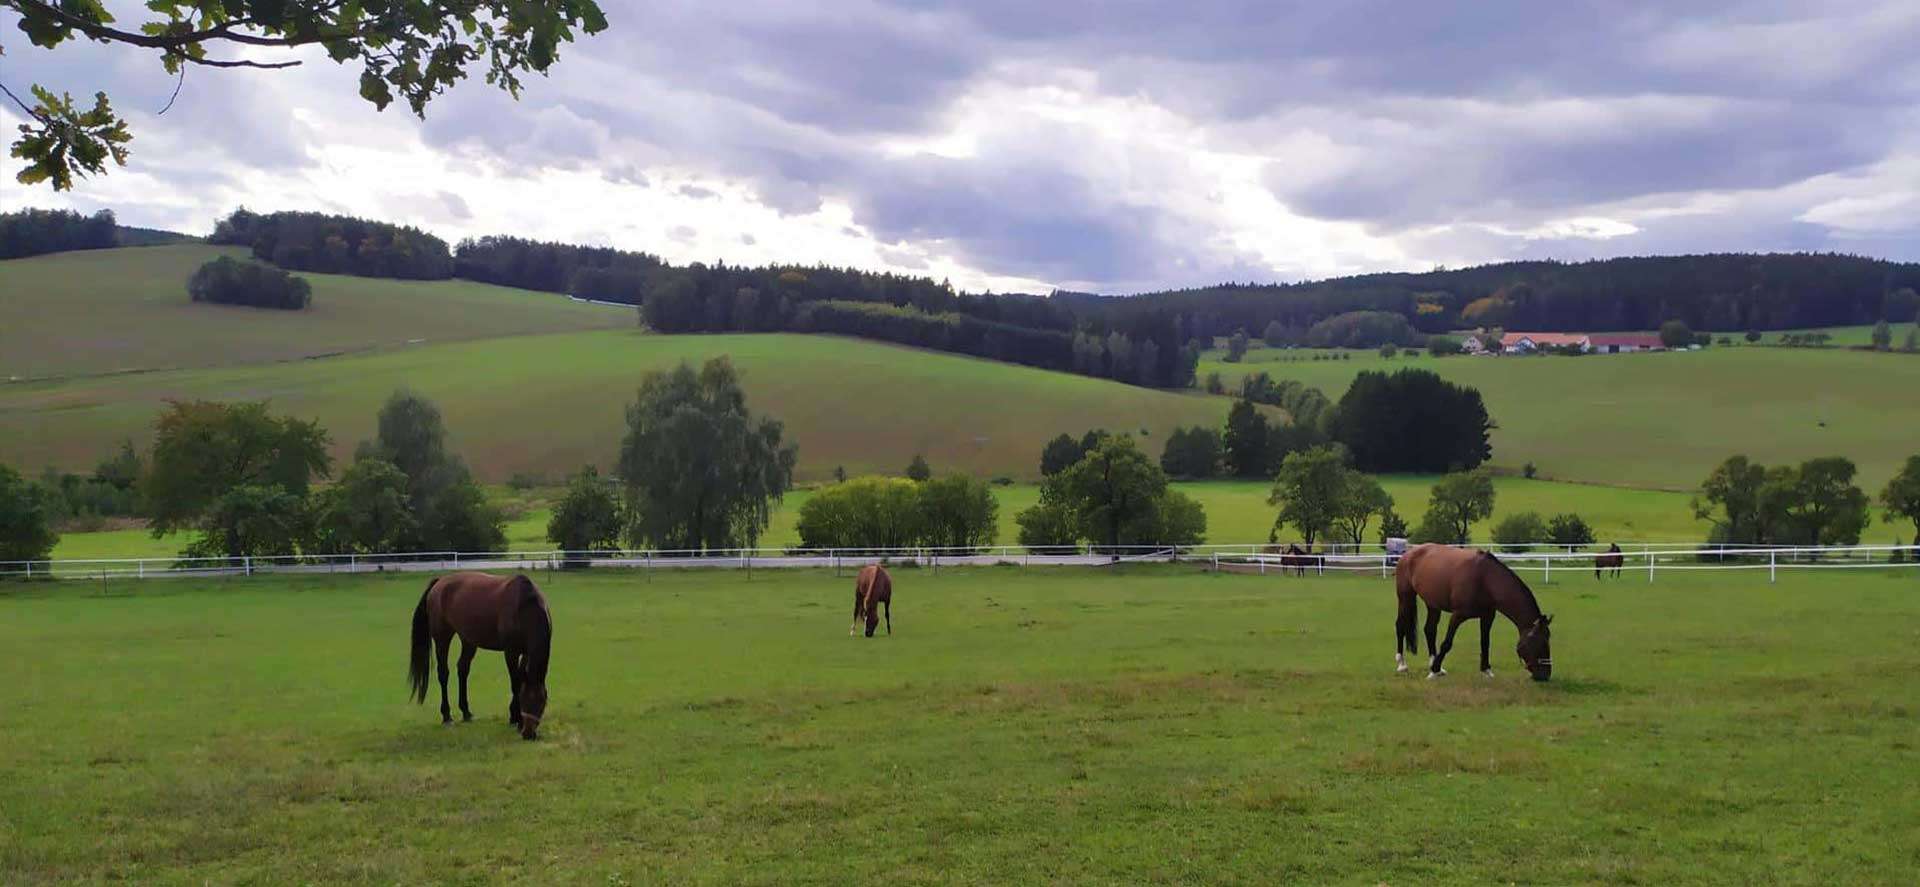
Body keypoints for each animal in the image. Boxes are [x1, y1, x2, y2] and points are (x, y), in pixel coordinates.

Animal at [407, 572, 552, 737]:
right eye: (524, 700)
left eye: (542, 702)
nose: (528, 734)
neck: (524, 607)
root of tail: (440, 582)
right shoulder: (511, 652)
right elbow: (515, 683)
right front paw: (517, 720)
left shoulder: (526, 652)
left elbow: (519, 679)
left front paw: (513, 717)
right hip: (442, 638)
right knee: (443, 673)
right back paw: (447, 716)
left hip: (468, 640)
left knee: (462, 669)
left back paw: (466, 712)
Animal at [1405, 545, 1551, 683]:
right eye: (1540, 643)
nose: (1545, 675)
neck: (1485, 579)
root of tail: (1410, 552)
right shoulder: (1457, 616)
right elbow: (1447, 643)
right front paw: (1434, 670)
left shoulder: (1487, 617)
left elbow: (1485, 643)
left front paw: (1486, 670)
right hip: (1406, 597)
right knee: (1402, 627)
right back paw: (1403, 666)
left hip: (1433, 606)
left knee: (1429, 630)